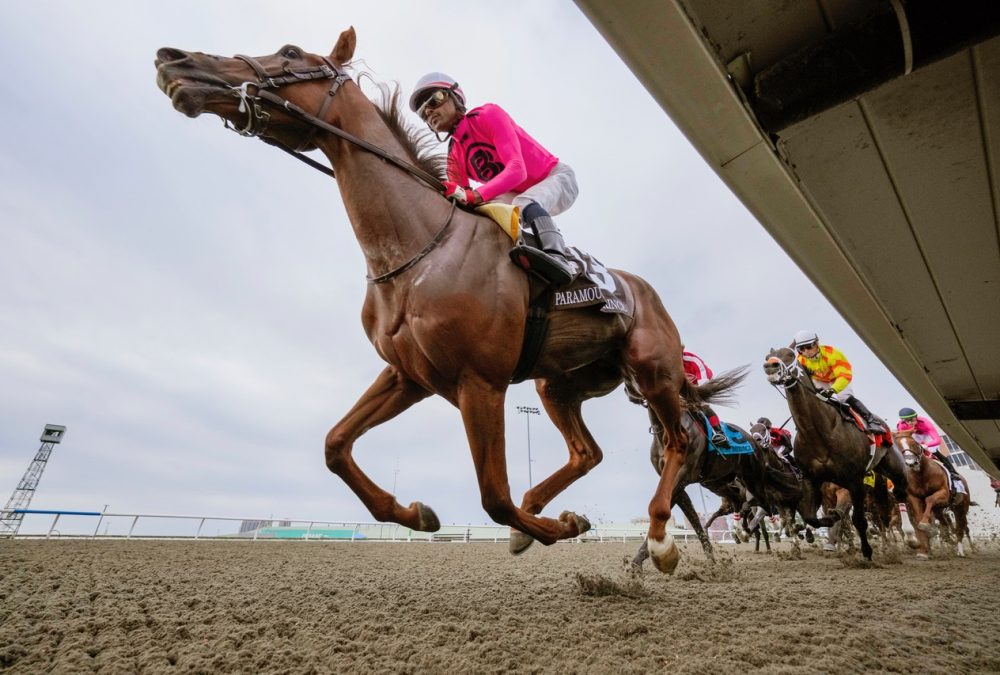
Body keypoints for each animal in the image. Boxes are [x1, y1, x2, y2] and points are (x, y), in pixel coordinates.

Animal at [156, 29, 700, 572]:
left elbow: (494, 497)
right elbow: (335, 445)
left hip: (653, 370)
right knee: (587, 453)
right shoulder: (409, 375)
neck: (419, 248)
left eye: (289, 53)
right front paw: (417, 514)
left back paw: (660, 538)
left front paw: (560, 527)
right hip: (559, 385)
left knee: (675, 441)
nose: (173, 60)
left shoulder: (480, 382)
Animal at [760, 348, 912, 560]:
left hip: (890, 468)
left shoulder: (854, 482)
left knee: (897, 494)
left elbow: (859, 520)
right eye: (767, 358)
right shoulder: (812, 480)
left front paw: (866, 552)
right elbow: (812, 518)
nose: (770, 367)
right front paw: (831, 520)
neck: (819, 432)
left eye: (790, 354)